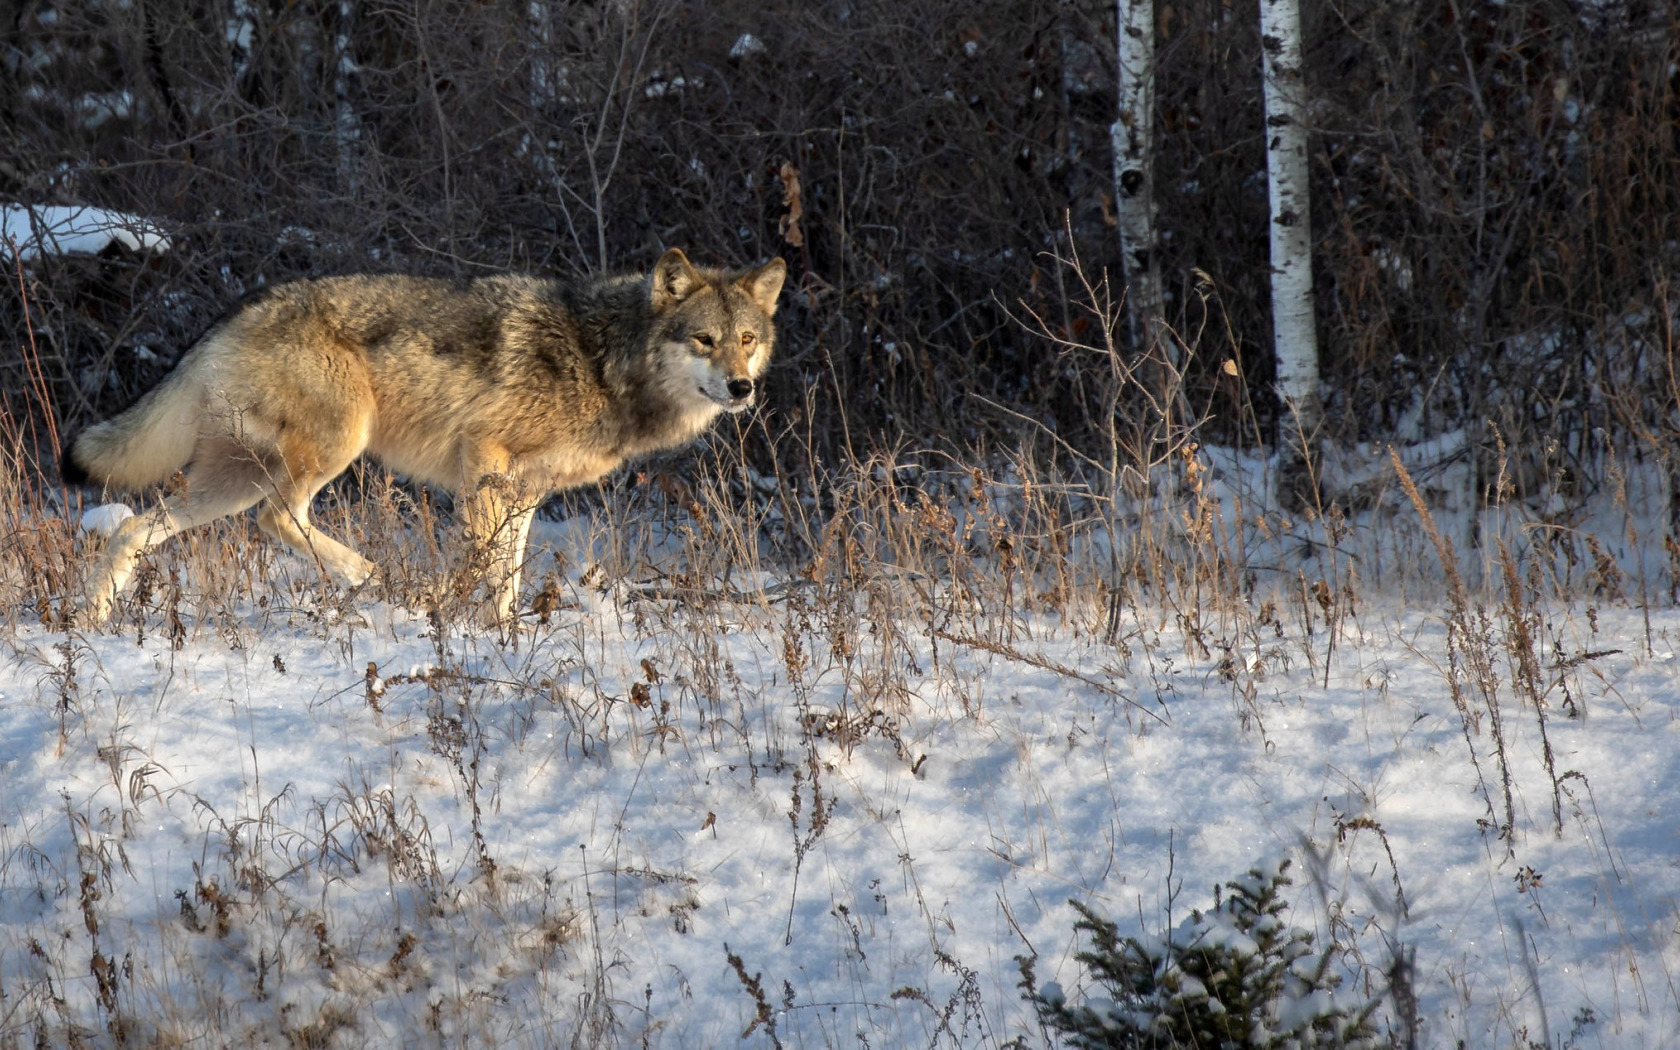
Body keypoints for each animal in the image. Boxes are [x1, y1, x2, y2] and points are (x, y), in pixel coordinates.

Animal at [63, 246, 786, 621]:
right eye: (705, 340)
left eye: (747, 340)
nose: (741, 388)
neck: (604, 358)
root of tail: (231, 315)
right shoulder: (483, 459)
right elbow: (484, 562)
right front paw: (469, 622)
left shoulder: (525, 492)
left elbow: (508, 572)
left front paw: (506, 635)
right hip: (331, 448)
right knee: (276, 518)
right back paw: (369, 576)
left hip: (231, 480)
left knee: (135, 528)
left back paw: (94, 620)